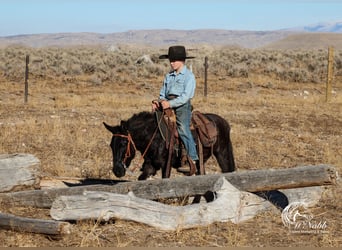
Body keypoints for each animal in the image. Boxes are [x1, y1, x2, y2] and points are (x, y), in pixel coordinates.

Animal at [103, 111, 234, 180]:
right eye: (111, 145)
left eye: (124, 143)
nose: (117, 170)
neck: (154, 136)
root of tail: (224, 122)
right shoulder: (150, 166)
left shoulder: (166, 165)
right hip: (199, 162)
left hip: (222, 155)